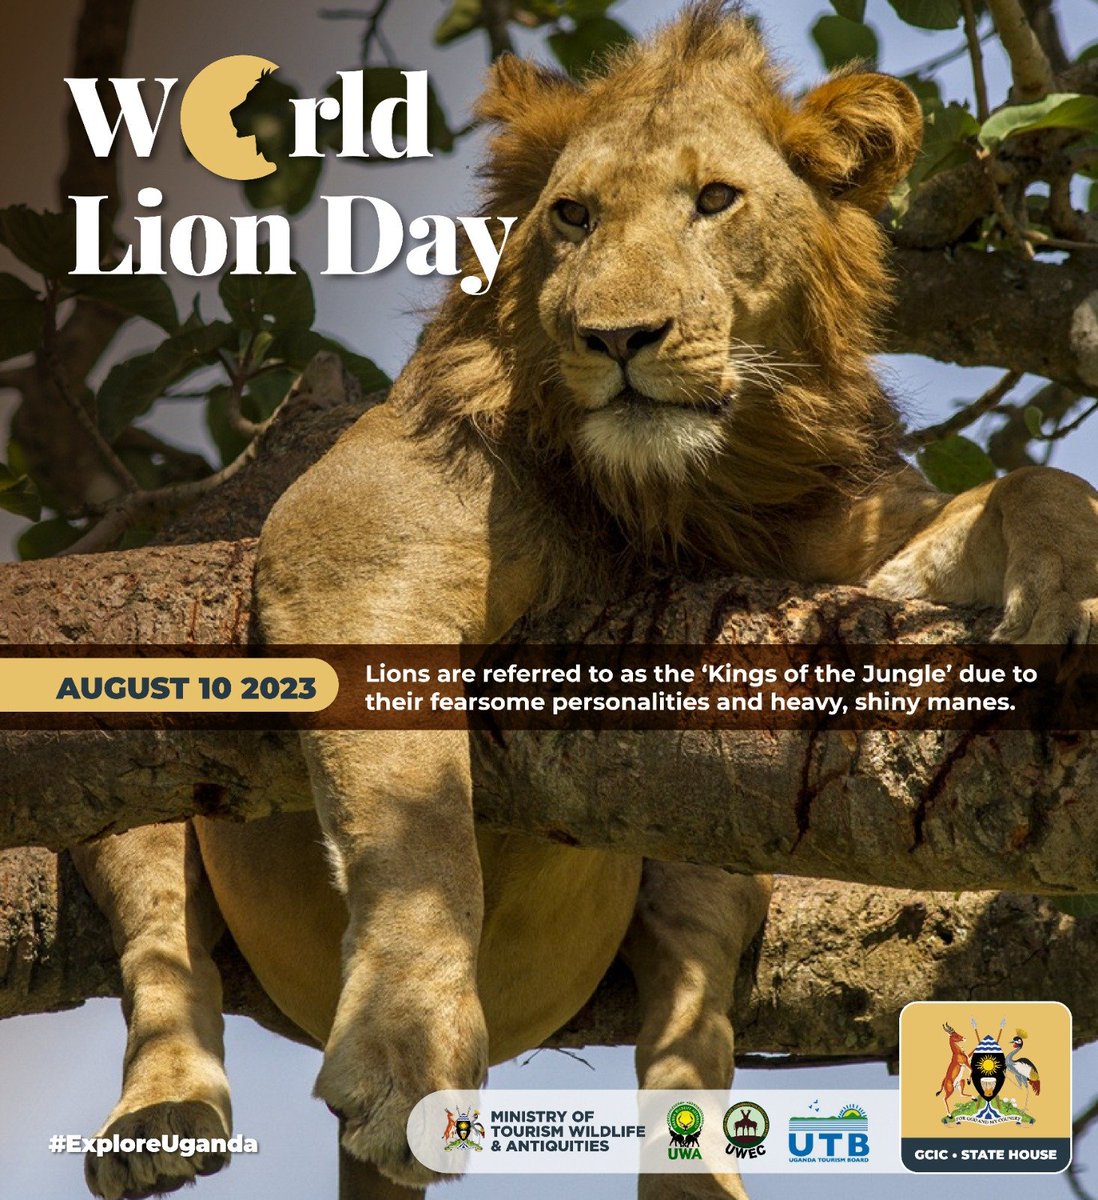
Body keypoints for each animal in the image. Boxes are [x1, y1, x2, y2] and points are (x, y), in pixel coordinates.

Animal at [72, 4, 1098, 1199]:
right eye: (572, 215)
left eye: (715, 200)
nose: (618, 338)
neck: (680, 491)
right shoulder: (347, 541)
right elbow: (421, 833)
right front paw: (408, 1055)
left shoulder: (853, 555)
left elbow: (1032, 486)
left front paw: (1071, 596)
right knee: (163, 951)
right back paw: (163, 1118)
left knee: (692, 994)